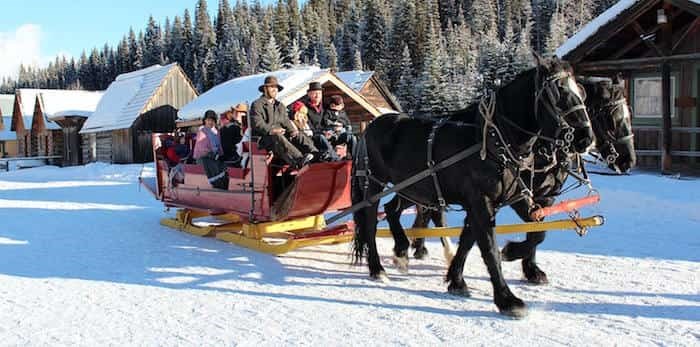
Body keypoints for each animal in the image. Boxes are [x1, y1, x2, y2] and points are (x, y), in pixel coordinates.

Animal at [352, 56, 592, 318]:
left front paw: (460, 278)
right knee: (370, 222)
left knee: (392, 210)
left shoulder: (505, 198)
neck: (492, 139)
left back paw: (402, 252)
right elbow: (488, 247)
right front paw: (507, 299)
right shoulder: (481, 201)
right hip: (374, 184)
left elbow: (528, 232)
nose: (585, 137)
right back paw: (377, 268)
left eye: (581, 91)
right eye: (557, 92)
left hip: (412, 188)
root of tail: (371, 125)